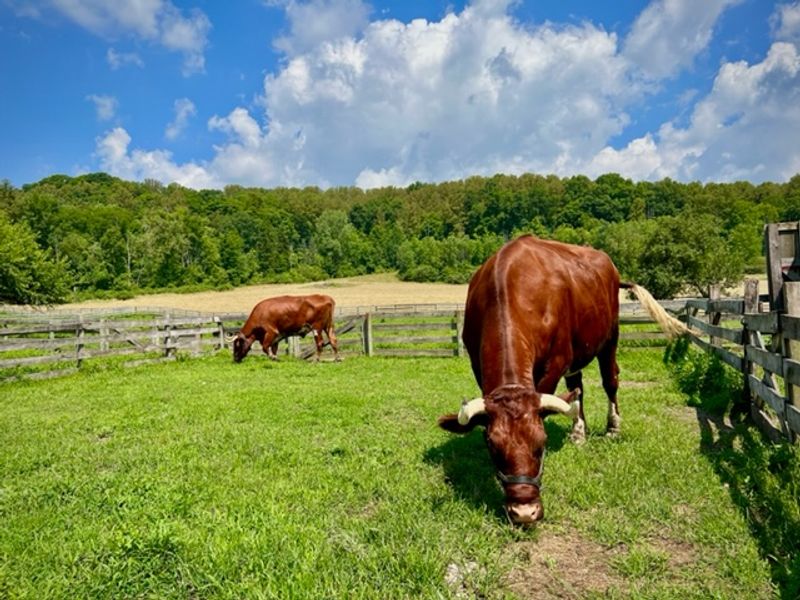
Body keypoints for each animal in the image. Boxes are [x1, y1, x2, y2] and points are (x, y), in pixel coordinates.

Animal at [437, 235, 687, 526]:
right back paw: (579, 432)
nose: (525, 512)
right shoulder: (477, 365)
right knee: (577, 388)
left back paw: (613, 427)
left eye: (541, 444)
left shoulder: (556, 361)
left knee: (610, 380)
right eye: (493, 447)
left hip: (610, 336)